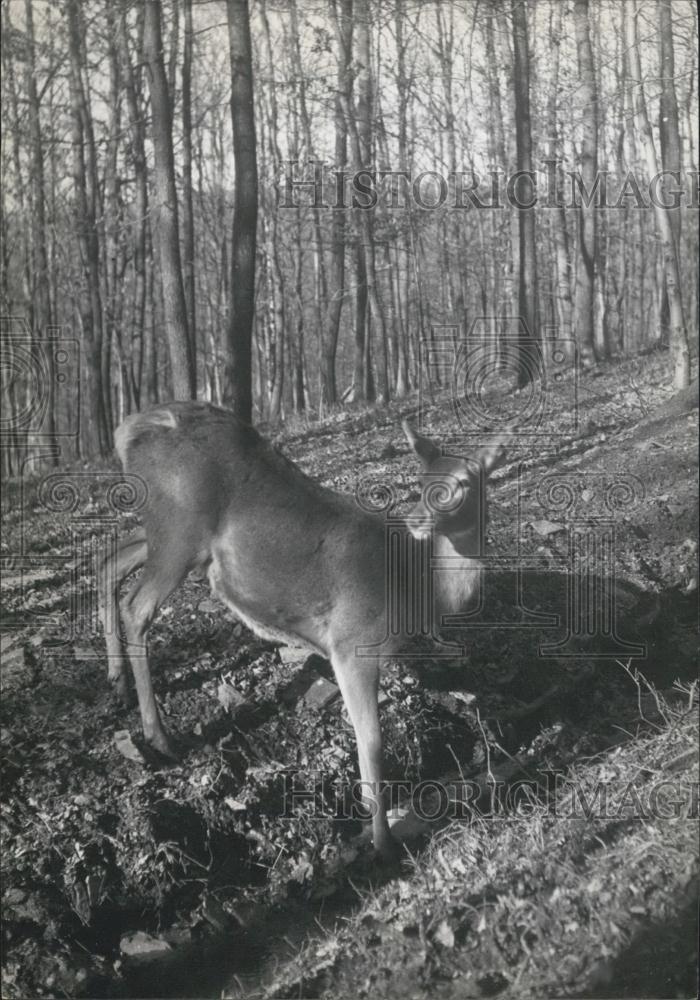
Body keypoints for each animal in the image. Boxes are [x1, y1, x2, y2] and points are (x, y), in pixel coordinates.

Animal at [98, 400, 506, 860]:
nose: (417, 518)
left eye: (463, 482)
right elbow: (371, 744)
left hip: (158, 531)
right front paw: (383, 843)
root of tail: (128, 430)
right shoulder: (352, 641)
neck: (414, 587)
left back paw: (117, 683)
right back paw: (159, 736)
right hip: (178, 530)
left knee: (108, 558)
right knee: (137, 606)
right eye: (420, 481)